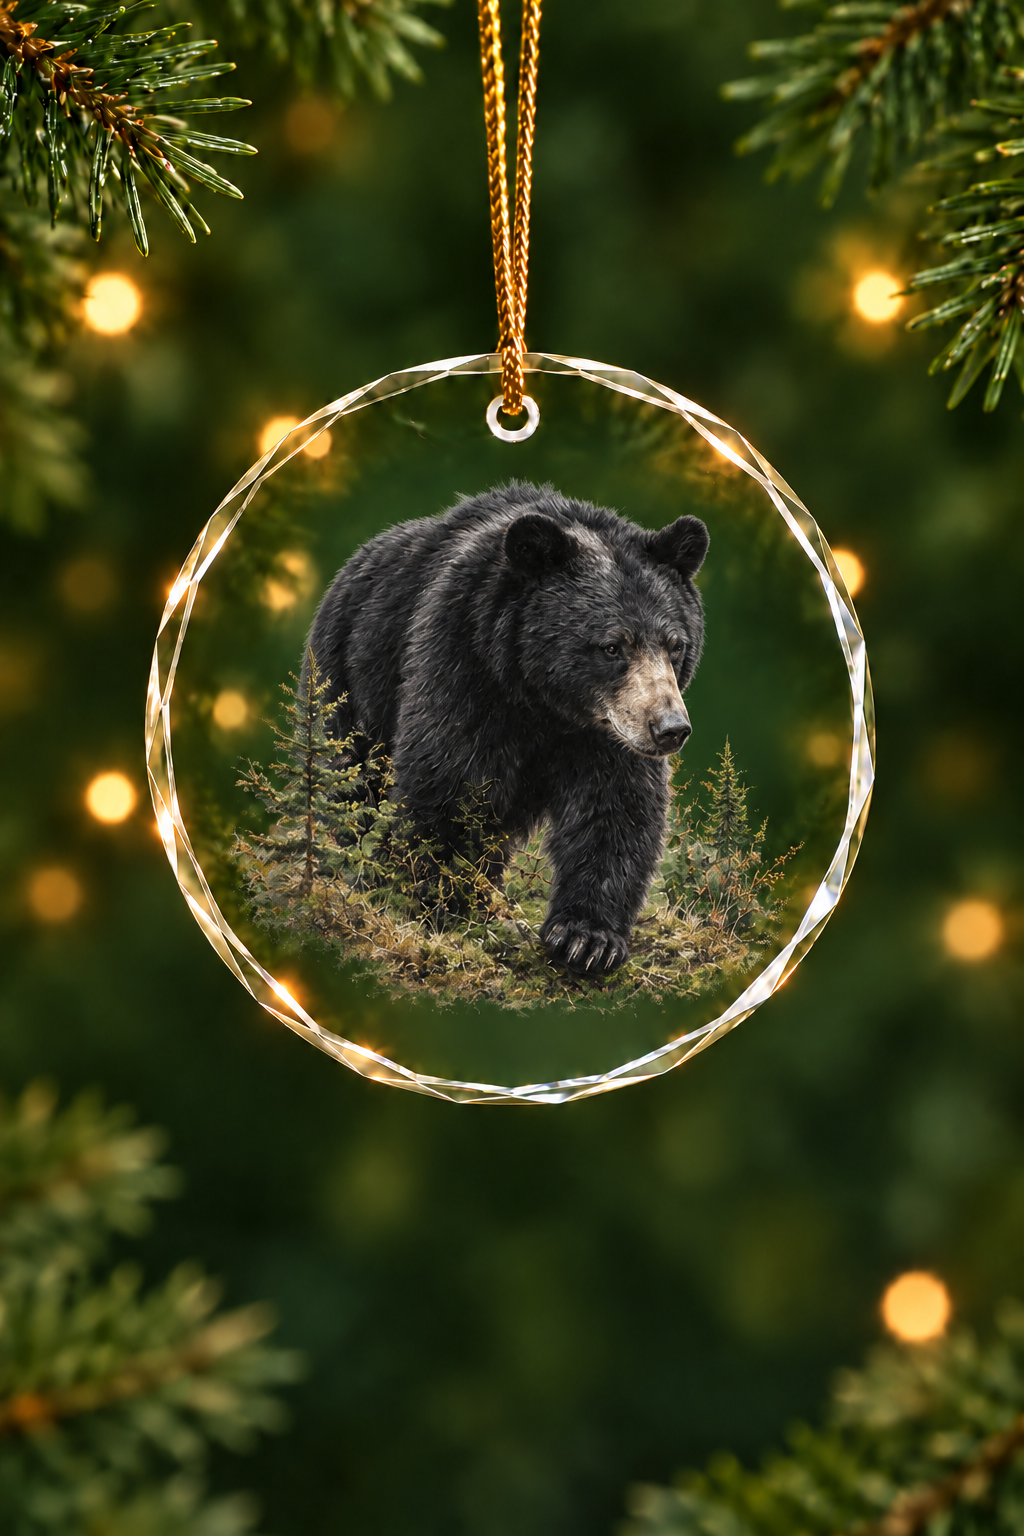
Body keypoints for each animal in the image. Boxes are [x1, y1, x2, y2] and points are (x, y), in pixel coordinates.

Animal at [304, 481, 708, 976]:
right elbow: (449, 782)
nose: (669, 727)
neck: (547, 703)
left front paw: (586, 938)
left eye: (675, 644)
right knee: (351, 781)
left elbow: (616, 808)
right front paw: (440, 903)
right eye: (612, 646)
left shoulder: (607, 733)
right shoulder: (465, 662)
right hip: (351, 675)